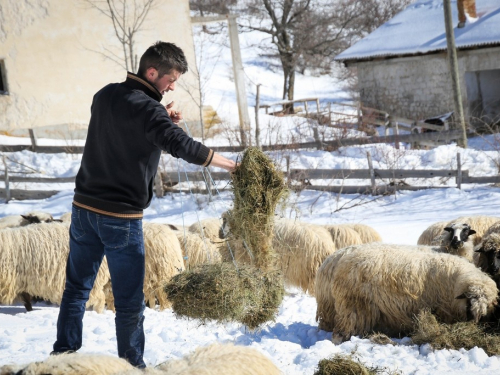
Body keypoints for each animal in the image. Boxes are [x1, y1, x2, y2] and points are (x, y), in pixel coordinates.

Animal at [314, 241, 498, 344]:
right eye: (469, 302)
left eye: (485, 308)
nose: (474, 323)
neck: (455, 280)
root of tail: (334, 258)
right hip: (354, 305)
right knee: (340, 333)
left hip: (333, 307)